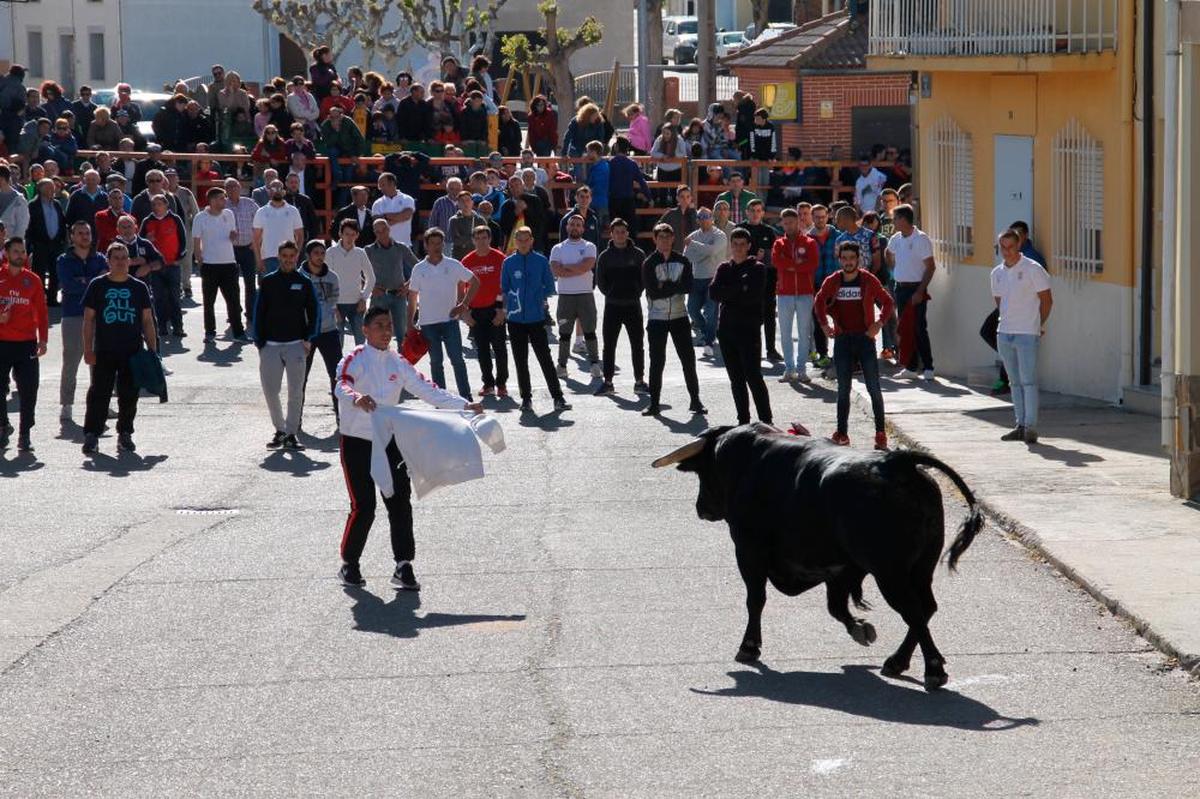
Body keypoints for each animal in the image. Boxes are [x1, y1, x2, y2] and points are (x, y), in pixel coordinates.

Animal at [657, 419, 984, 686]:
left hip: (889, 573)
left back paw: (932, 670)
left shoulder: (749, 551)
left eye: (703, 472)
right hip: (921, 567)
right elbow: (836, 608)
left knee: (914, 611)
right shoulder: (840, 569)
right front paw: (859, 628)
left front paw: (749, 646)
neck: (745, 460)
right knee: (925, 607)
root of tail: (896, 461)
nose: (701, 508)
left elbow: (755, 599)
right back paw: (898, 662)